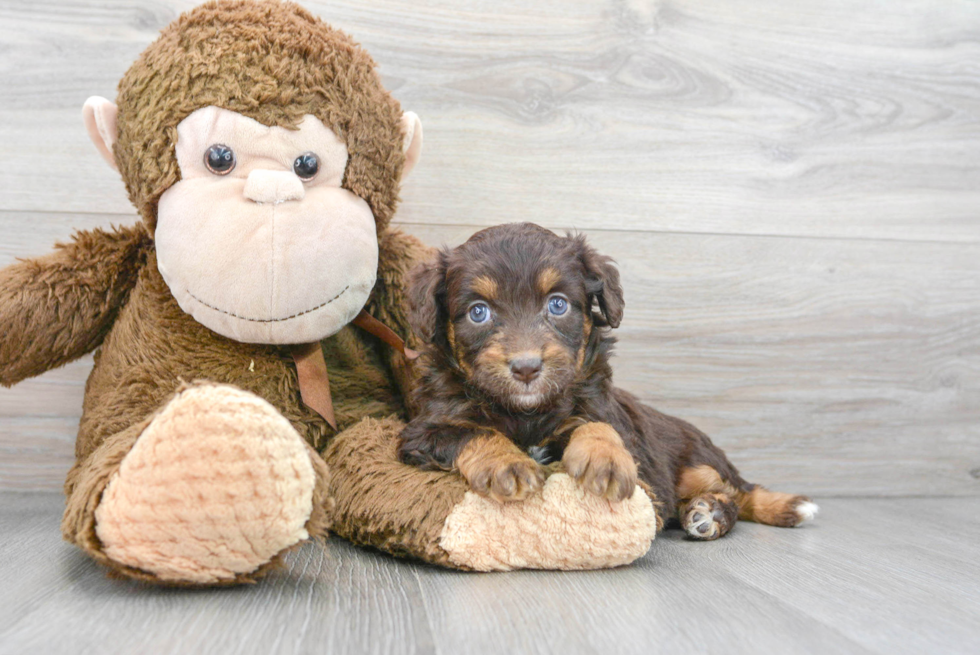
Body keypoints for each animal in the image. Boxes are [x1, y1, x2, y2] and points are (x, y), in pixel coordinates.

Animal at [394, 223, 816, 540]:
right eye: (478, 312)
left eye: (558, 304)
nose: (527, 368)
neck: (526, 412)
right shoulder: (423, 431)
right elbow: (471, 431)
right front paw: (507, 463)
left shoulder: (606, 411)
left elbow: (597, 425)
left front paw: (606, 458)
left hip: (697, 463)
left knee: (738, 493)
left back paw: (712, 512)